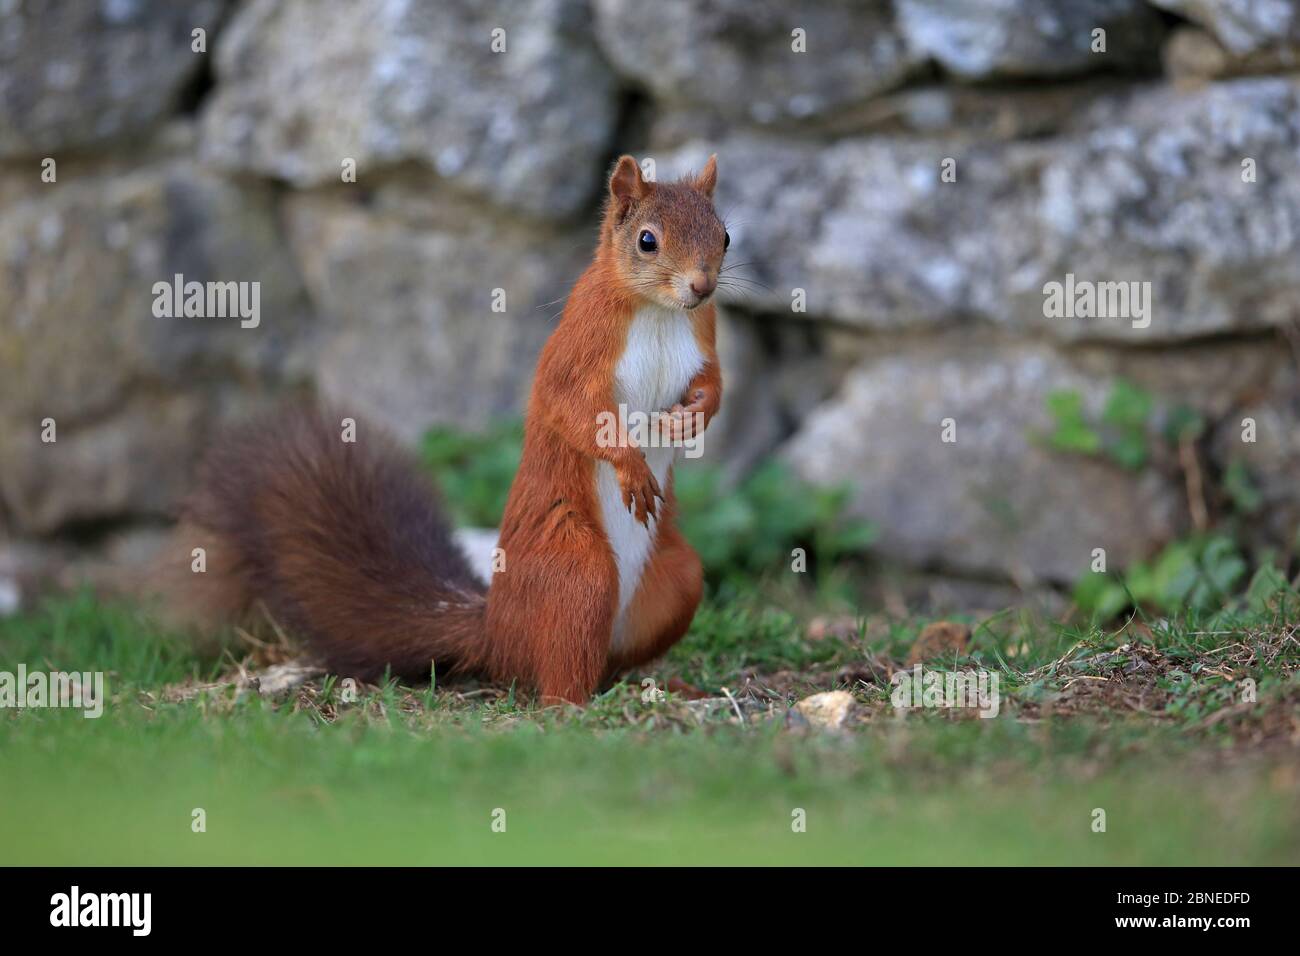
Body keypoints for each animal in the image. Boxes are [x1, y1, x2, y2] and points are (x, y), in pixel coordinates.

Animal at [170, 155, 733, 702]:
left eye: (725, 235)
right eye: (647, 240)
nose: (702, 286)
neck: (659, 312)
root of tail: (496, 631)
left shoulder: (703, 336)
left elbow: (713, 385)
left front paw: (692, 416)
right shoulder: (581, 344)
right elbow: (570, 406)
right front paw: (630, 465)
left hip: (678, 578)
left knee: (615, 659)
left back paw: (659, 684)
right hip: (575, 571)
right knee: (559, 669)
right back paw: (572, 704)